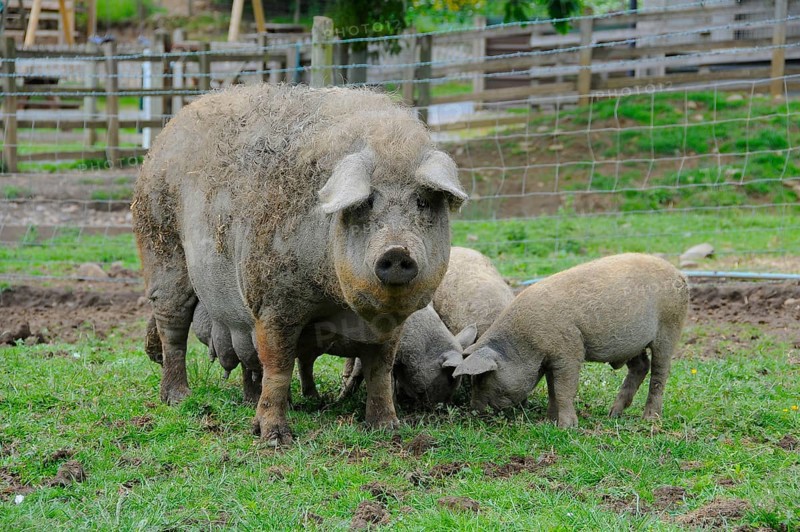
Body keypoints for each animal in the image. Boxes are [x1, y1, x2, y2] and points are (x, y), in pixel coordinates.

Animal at [132, 84, 467, 445]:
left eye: (422, 202)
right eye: (366, 203)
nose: (396, 251)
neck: (339, 306)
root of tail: (167, 132)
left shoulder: (391, 325)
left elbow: (380, 370)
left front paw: (388, 430)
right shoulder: (272, 302)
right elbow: (278, 366)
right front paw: (274, 438)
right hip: (162, 246)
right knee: (172, 326)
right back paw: (178, 397)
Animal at [453, 253, 689, 428]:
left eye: (484, 377)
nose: (473, 411)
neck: (525, 343)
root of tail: (680, 275)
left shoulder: (569, 351)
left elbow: (563, 389)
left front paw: (566, 427)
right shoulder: (549, 360)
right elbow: (552, 390)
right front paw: (549, 421)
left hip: (670, 327)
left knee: (660, 372)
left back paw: (649, 419)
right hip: (632, 343)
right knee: (641, 367)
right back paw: (613, 414)